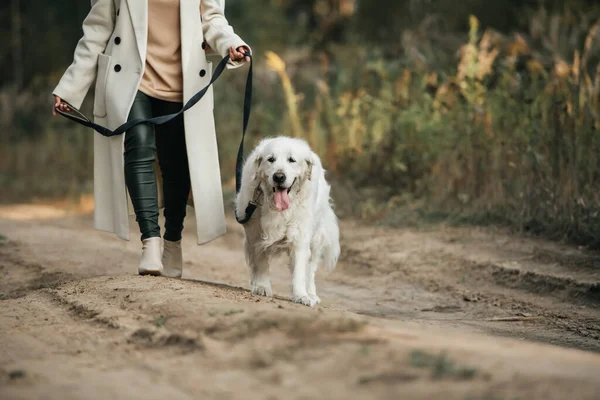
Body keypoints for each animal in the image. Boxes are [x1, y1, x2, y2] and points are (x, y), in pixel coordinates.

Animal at [234, 138, 340, 306]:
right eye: (271, 159)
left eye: (292, 160)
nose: (279, 176)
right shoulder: (256, 234)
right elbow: (261, 261)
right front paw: (262, 286)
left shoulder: (300, 237)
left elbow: (299, 271)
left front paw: (301, 296)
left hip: (316, 239)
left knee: (310, 270)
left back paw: (312, 294)